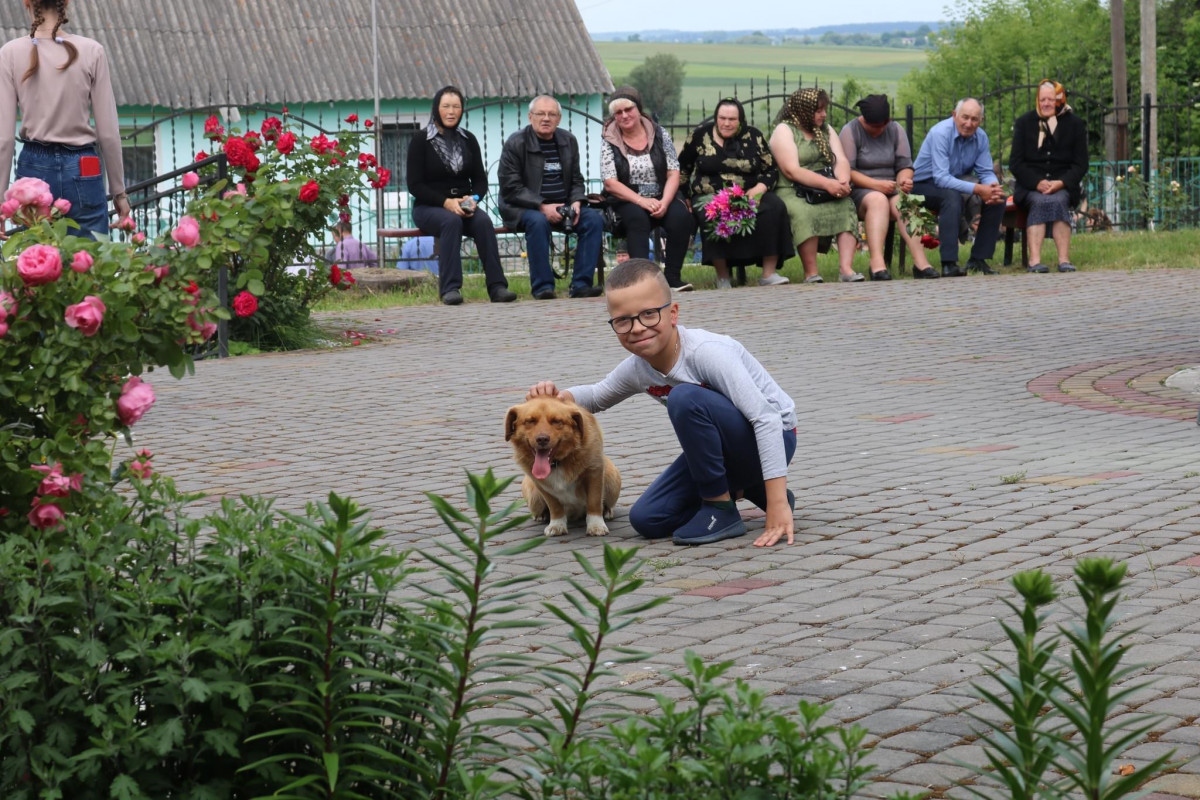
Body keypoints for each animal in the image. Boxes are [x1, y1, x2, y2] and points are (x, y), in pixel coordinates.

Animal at [504, 395, 624, 537]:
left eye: (556, 421)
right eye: (530, 421)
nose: (542, 439)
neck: (557, 463)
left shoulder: (594, 472)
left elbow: (594, 502)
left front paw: (596, 526)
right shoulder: (542, 485)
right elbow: (555, 506)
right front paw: (557, 525)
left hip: (612, 479)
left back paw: (606, 511)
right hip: (532, 493)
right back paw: (541, 516)